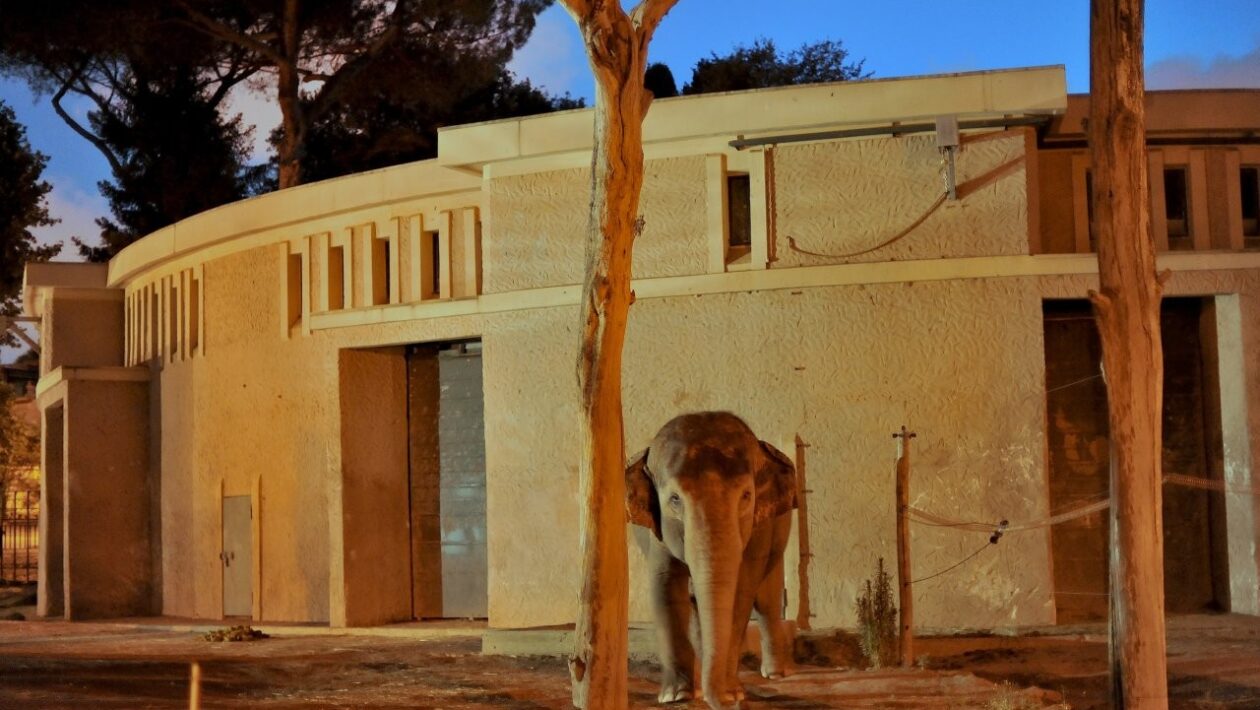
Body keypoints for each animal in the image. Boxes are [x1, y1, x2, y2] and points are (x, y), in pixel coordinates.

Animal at [626, 411, 798, 709]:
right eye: (674, 499)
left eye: (746, 496)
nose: (732, 703)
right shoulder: (656, 532)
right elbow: (665, 587)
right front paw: (675, 696)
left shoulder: (759, 528)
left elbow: (742, 591)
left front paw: (732, 692)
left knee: (767, 599)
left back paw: (775, 673)